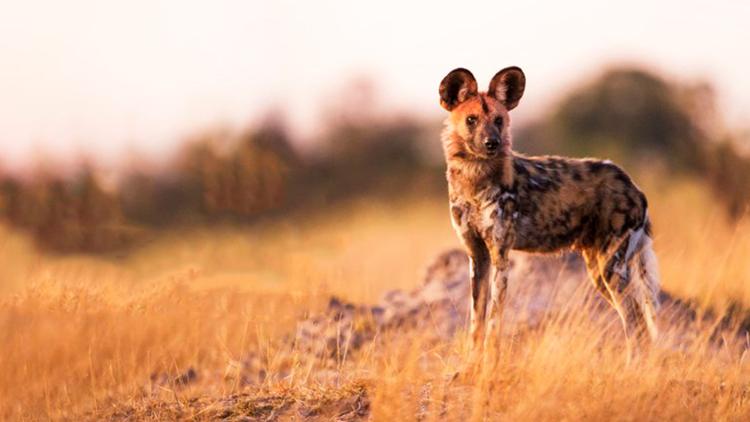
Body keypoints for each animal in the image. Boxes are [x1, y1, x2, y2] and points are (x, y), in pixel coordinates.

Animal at [440, 67, 664, 356]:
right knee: (641, 327)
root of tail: (634, 185)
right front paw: (472, 364)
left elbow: (493, 326)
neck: (474, 180)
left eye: (499, 120)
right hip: (599, 271)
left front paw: (489, 363)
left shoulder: (501, 257)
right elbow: (476, 327)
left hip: (611, 268)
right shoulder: (477, 258)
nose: (492, 143)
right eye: (471, 120)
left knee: (635, 325)